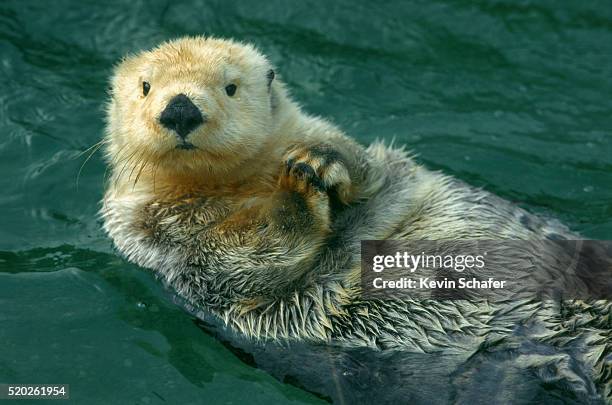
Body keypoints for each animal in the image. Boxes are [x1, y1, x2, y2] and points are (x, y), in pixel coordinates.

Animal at [103, 35, 608, 400]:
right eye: (145, 87)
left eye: (230, 86)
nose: (180, 108)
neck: (237, 188)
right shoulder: (152, 233)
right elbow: (238, 260)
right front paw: (296, 195)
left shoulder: (361, 161)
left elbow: (368, 170)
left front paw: (319, 162)